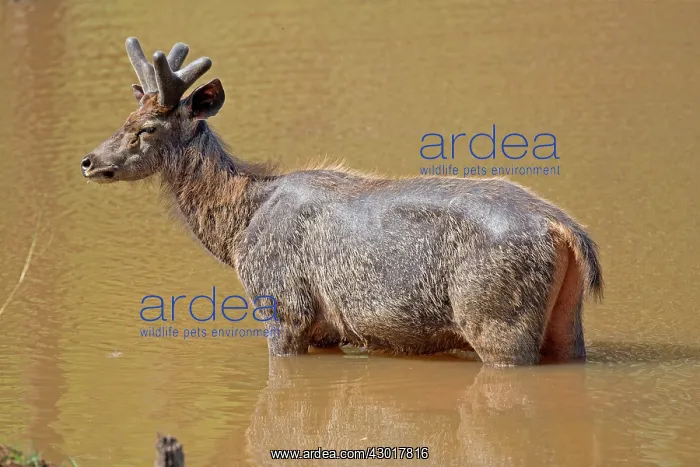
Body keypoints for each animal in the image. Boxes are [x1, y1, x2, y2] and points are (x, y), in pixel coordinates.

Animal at [81, 38, 603, 367]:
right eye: (125, 118)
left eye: (147, 128)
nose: (88, 161)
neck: (237, 228)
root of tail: (565, 230)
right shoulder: (326, 326)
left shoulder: (284, 304)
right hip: (566, 321)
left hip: (495, 318)